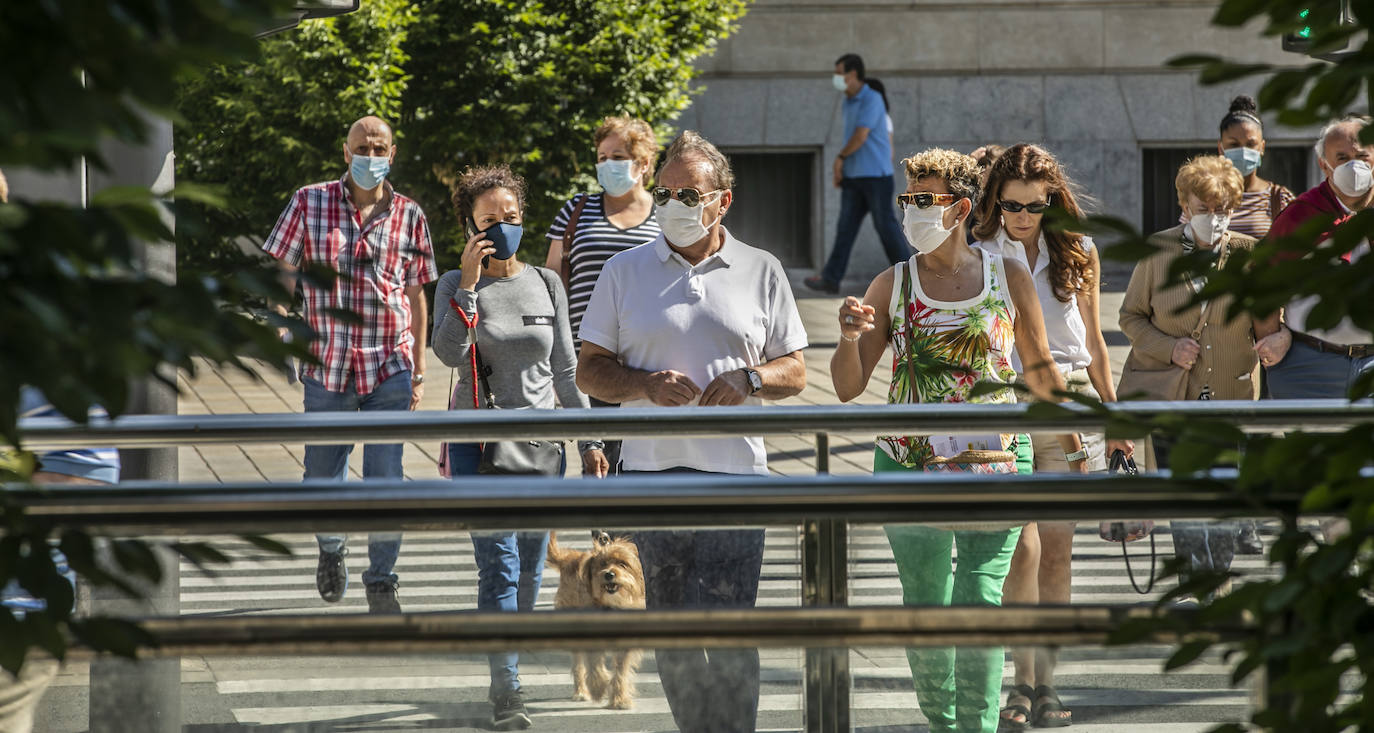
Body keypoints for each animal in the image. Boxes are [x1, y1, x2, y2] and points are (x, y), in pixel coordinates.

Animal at [544, 528, 645, 704]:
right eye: (603, 564)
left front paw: (619, 699)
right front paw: (598, 688)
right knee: (578, 664)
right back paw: (581, 691)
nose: (609, 574)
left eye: (622, 564)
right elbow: (594, 665)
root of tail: (569, 558)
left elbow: (620, 670)